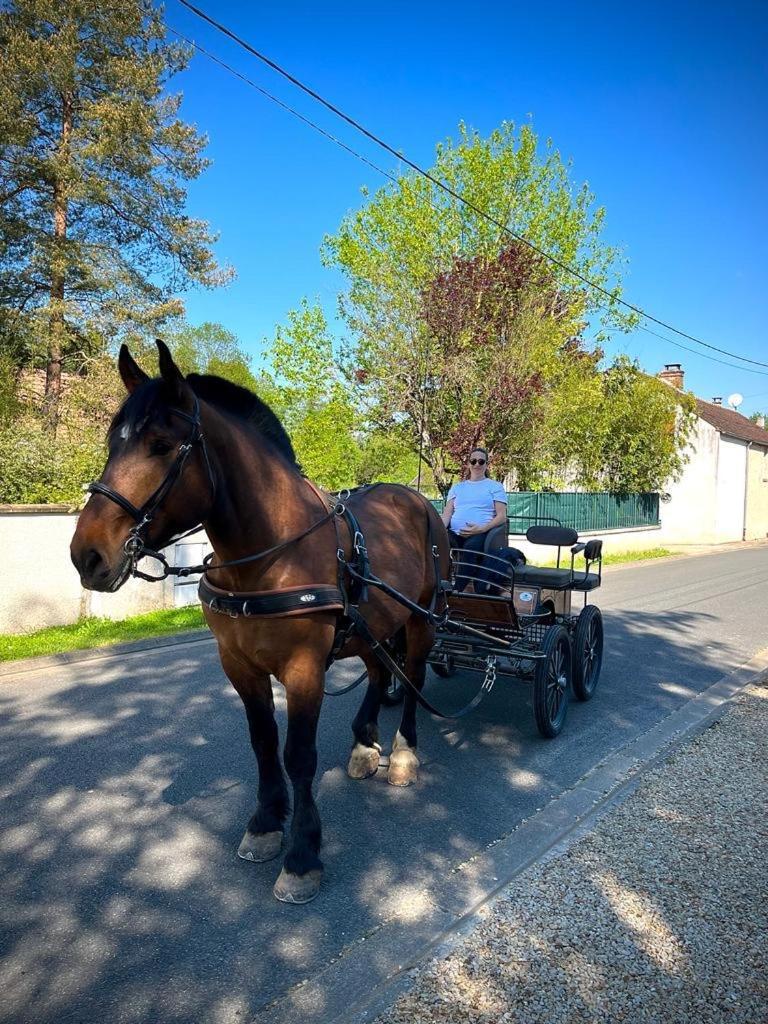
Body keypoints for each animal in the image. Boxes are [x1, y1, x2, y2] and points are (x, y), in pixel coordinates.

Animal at [70, 344, 450, 905]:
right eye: (112, 442)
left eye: (161, 445)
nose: (87, 555)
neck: (271, 553)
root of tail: (419, 498)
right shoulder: (238, 664)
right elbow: (263, 741)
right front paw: (268, 823)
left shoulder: (304, 669)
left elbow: (299, 755)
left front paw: (302, 854)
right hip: (373, 622)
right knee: (381, 672)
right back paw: (365, 744)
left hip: (422, 618)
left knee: (414, 677)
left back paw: (403, 755)